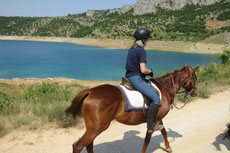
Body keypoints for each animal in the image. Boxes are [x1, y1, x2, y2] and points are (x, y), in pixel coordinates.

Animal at [66, 65, 199, 153]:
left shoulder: (158, 118)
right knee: (78, 145)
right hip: (97, 127)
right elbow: (147, 139)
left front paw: (168, 147)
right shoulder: (153, 121)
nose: (195, 93)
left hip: (93, 128)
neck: (164, 88)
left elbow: (164, 131)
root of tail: (89, 91)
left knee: (88, 145)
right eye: (195, 78)